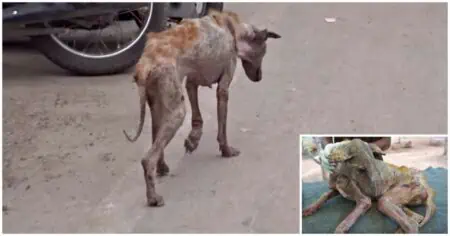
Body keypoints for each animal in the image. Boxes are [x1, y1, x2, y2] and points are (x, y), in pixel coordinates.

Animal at [121, 9, 280, 206]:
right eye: (264, 52)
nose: (259, 77)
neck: (231, 28)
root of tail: (146, 62)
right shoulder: (223, 88)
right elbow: (222, 129)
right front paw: (226, 150)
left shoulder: (191, 83)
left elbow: (198, 117)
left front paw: (193, 139)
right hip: (177, 113)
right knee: (147, 160)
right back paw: (153, 197)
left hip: (158, 107)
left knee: (156, 144)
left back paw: (162, 167)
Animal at [302, 139, 436, 233]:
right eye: (361, 169)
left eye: (375, 164)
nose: (377, 191)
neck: (342, 174)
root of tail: (426, 187)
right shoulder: (336, 190)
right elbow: (324, 195)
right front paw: (310, 208)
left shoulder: (364, 200)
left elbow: (344, 223)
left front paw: (341, 228)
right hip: (396, 202)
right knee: (417, 218)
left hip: (386, 200)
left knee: (412, 224)